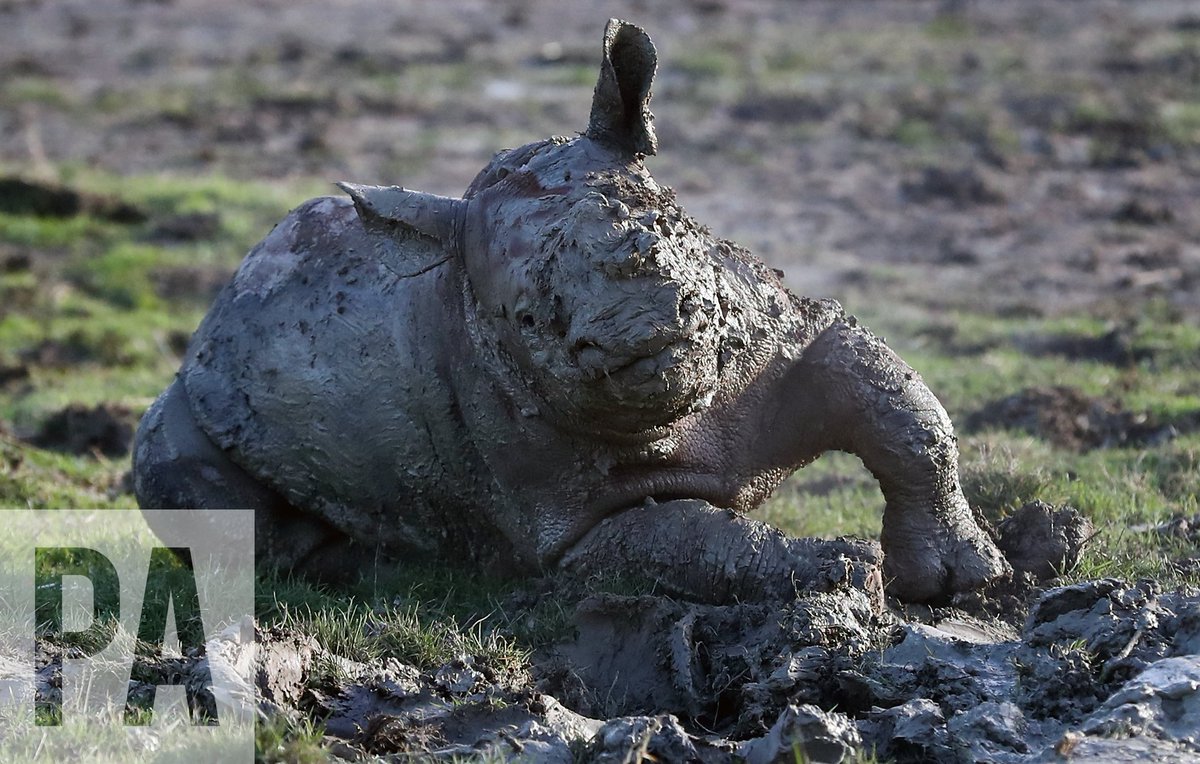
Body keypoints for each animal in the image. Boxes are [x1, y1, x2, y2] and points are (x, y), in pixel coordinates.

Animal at [133, 20, 1009, 603]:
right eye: (527, 320)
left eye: (659, 239)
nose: (636, 340)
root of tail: (215, 316)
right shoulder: (569, 518)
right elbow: (693, 543)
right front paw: (840, 572)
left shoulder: (785, 341)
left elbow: (897, 411)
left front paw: (966, 576)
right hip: (199, 395)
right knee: (177, 469)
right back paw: (367, 569)